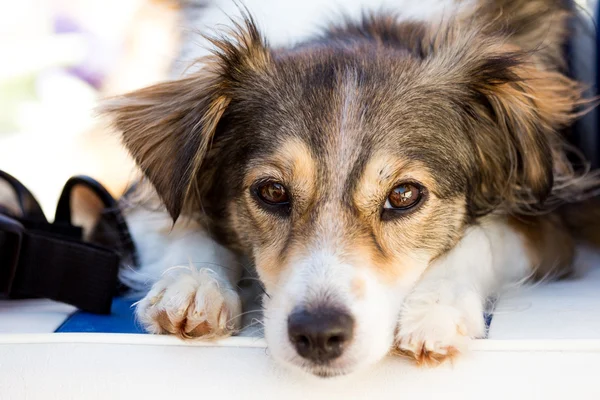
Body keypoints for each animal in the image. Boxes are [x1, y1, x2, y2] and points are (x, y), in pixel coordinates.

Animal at [99, 0, 600, 376]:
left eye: (404, 195)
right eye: (272, 192)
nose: (319, 335)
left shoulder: (550, 224)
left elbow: (484, 235)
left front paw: (437, 306)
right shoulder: (138, 199)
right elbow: (181, 225)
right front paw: (194, 282)